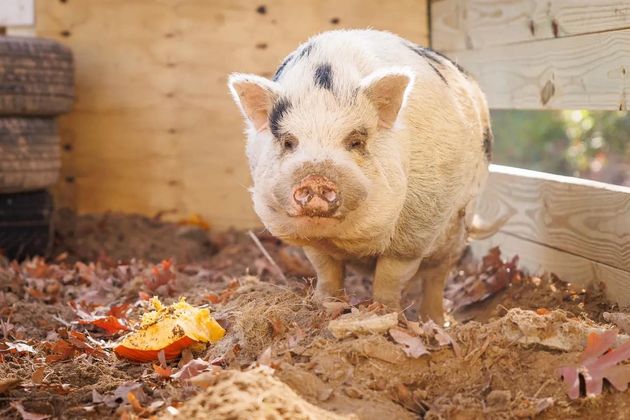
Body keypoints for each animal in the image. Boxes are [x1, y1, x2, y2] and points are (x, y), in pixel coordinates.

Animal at [230, 30, 496, 324]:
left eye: (355, 141)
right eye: (289, 142)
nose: (316, 178)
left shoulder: (416, 228)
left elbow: (390, 276)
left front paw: (383, 313)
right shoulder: (313, 245)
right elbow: (327, 271)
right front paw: (323, 306)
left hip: (458, 228)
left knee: (437, 277)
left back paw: (437, 322)